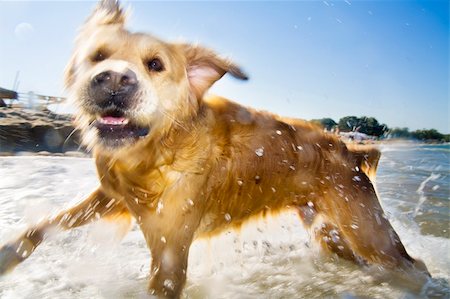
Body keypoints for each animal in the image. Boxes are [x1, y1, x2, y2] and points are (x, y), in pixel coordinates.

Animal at [0, 1, 428, 298]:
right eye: (98, 56)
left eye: (155, 64)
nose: (115, 80)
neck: (158, 151)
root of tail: (350, 150)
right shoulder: (112, 196)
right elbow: (47, 223)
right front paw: (8, 255)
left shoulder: (170, 253)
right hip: (332, 232)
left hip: (370, 232)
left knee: (415, 266)